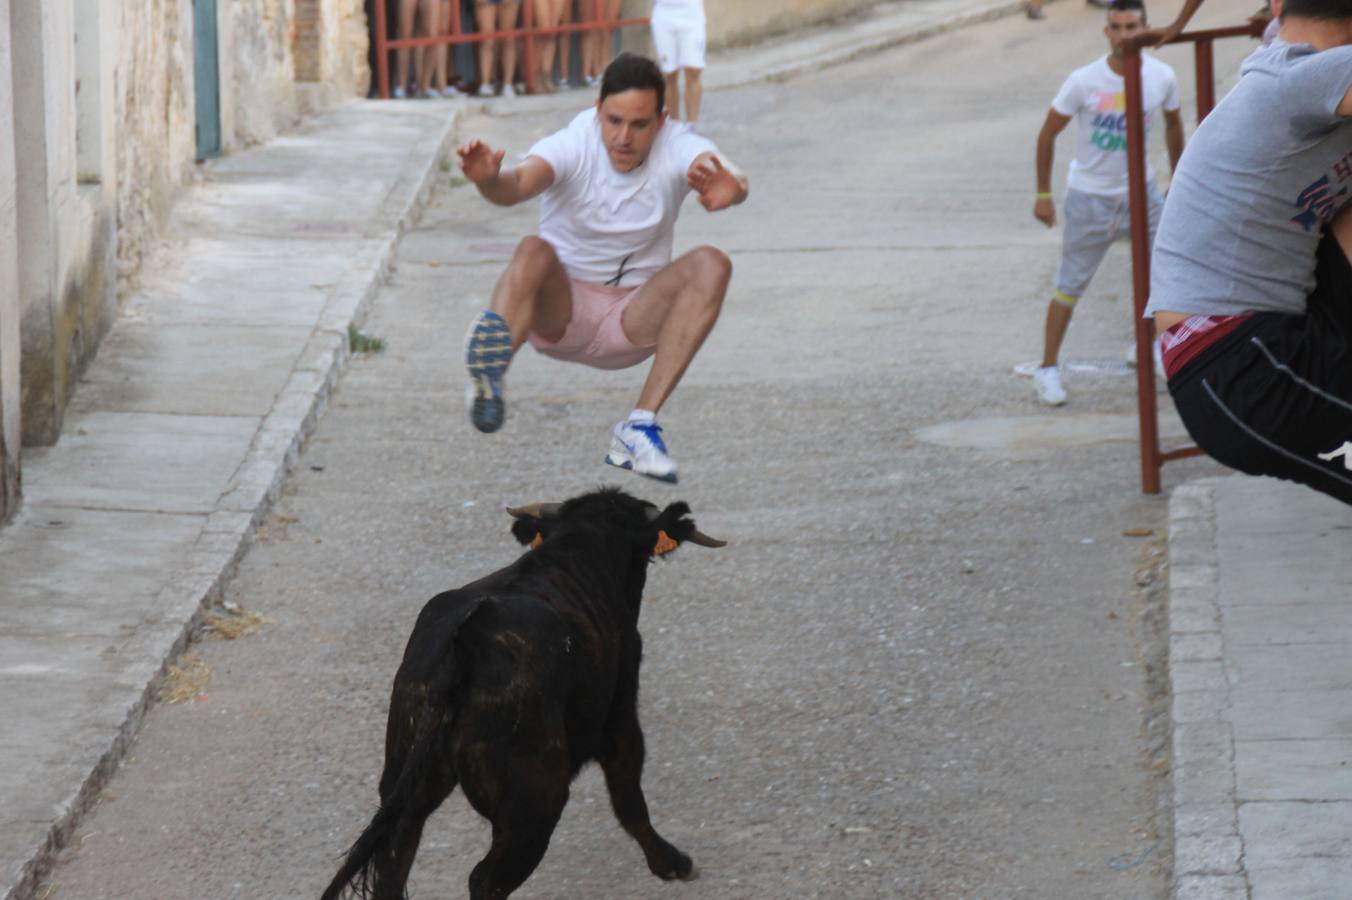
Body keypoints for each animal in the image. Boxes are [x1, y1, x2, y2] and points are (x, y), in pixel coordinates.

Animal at [320, 491, 724, 897]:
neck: (576, 546)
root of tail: (466, 643)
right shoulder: (620, 711)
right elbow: (629, 797)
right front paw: (672, 863)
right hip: (535, 804)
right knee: (486, 879)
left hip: (405, 777)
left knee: (394, 858)